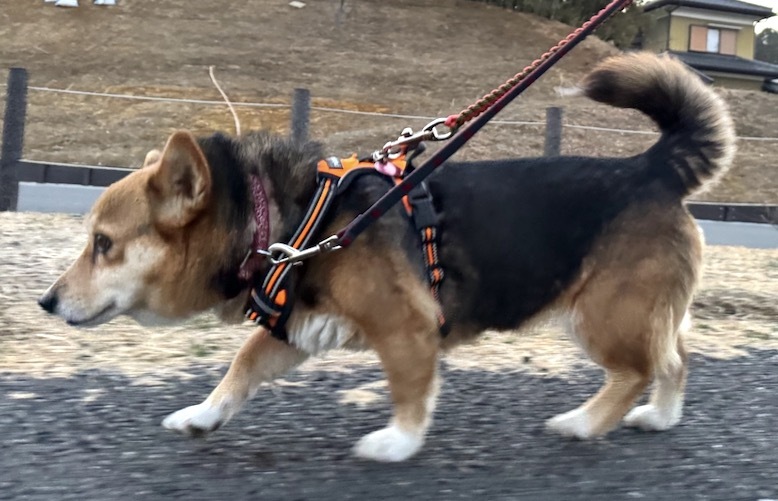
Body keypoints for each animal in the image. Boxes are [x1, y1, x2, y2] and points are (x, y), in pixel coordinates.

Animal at [39, 52, 735, 462]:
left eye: (103, 245)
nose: (45, 302)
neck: (292, 220)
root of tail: (651, 167)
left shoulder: (406, 329)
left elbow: (409, 392)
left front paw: (396, 443)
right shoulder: (294, 329)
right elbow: (238, 371)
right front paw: (201, 416)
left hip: (603, 316)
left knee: (639, 368)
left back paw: (585, 425)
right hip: (643, 313)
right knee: (675, 358)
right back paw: (661, 417)